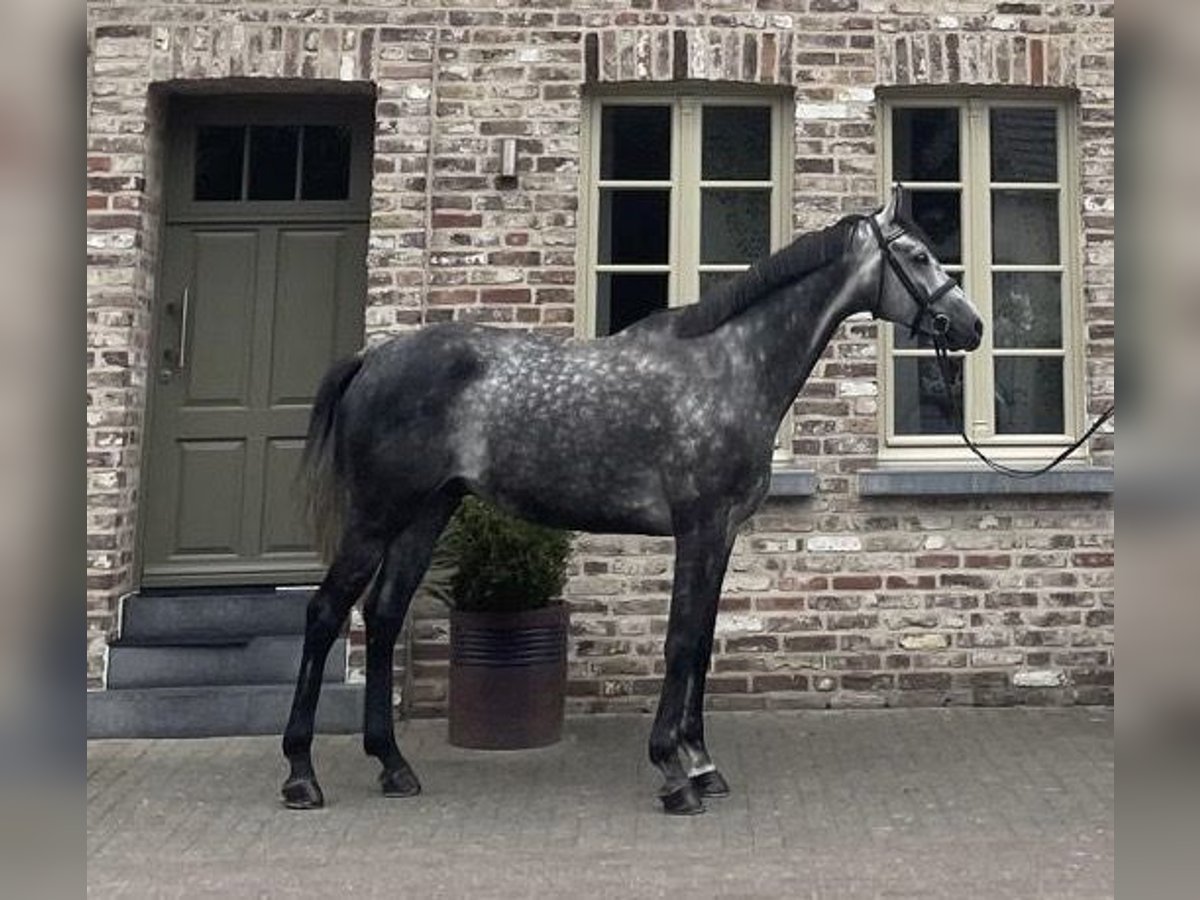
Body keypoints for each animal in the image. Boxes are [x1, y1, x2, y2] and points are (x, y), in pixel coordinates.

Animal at [283, 194, 984, 816]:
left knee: (383, 615)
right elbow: (679, 641)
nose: (972, 326)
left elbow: (701, 641)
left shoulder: (723, 533)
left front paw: (702, 763)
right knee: (324, 614)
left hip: (426, 514)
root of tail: (373, 359)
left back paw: (394, 766)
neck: (728, 367)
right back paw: (301, 776)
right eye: (918, 256)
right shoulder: (698, 528)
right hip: (376, 517)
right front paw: (673, 772)